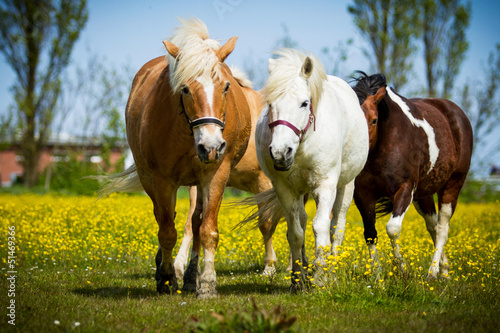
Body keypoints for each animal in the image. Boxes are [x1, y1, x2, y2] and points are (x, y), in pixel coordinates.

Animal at [104, 18, 258, 298]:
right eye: (185, 89)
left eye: (226, 86)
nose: (211, 146)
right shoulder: (162, 179)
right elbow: (166, 231)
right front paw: (165, 278)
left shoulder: (216, 174)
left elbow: (207, 230)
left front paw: (206, 283)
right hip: (149, 178)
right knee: (164, 216)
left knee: (195, 221)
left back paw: (190, 277)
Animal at [248, 49, 370, 290]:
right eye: (270, 104)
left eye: (304, 103)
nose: (280, 152)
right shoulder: (285, 189)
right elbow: (296, 232)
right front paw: (298, 280)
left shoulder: (325, 186)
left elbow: (321, 227)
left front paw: (322, 277)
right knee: (303, 221)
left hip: (345, 187)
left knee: (337, 227)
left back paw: (332, 271)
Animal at [352, 72, 472, 280]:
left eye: (374, 120)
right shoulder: (363, 195)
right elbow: (370, 233)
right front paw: (378, 277)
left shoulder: (405, 189)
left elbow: (392, 229)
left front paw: (402, 269)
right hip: (424, 194)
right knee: (432, 226)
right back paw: (444, 270)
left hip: (453, 184)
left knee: (442, 228)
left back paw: (434, 273)